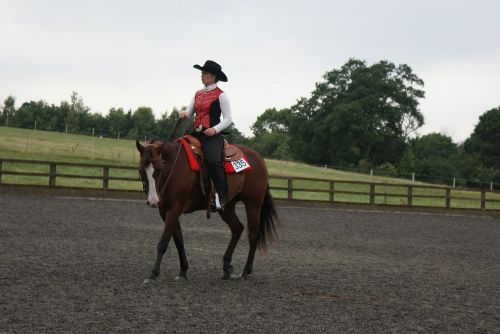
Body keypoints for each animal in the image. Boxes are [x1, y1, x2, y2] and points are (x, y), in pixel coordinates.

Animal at [135, 132, 280, 284]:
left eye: (159, 169)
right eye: (141, 170)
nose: (153, 201)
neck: (175, 167)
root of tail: (259, 159)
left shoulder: (174, 210)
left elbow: (163, 242)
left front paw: (153, 275)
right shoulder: (164, 211)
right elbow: (178, 239)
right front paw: (183, 271)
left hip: (253, 204)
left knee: (253, 235)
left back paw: (246, 271)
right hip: (227, 207)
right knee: (237, 229)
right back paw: (227, 267)